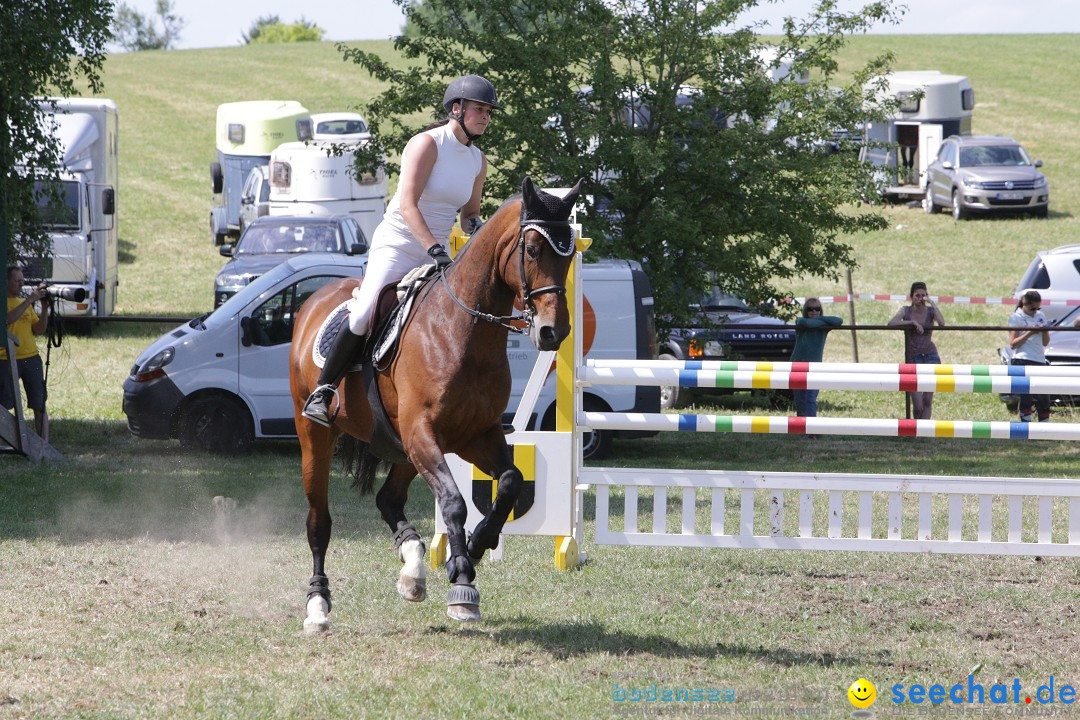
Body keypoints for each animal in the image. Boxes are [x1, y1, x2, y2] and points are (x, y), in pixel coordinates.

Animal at [287, 175, 583, 630]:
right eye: (533, 250)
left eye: (569, 257)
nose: (555, 332)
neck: (465, 332)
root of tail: (313, 303)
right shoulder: (424, 431)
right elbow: (454, 503)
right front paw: (461, 580)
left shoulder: (475, 434)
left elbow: (510, 483)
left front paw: (476, 548)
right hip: (320, 437)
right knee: (319, 522)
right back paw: (318, 606)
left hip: (404, 447)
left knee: (388, 499)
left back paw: (413, 569)